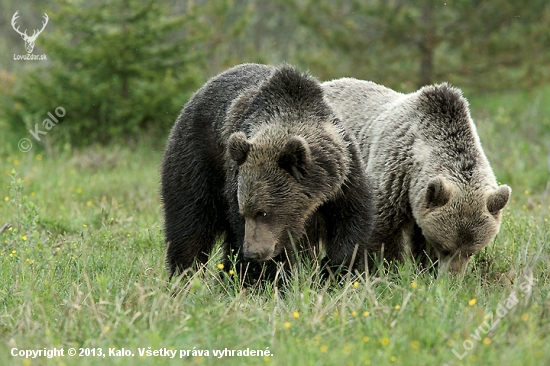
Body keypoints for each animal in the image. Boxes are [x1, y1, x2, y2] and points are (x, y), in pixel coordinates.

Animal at [160, 63, 376, 280]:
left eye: (263, 212)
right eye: (246, 212)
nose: (252, 252)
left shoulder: (345, 179)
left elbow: (351, 224)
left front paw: (334, 271)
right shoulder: (235, 182)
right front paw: (267, 276)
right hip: (198, 159)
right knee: (189, 220)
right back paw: (186, 274)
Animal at [324, 79, 512, 274]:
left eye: (471, 251)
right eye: (446, 247)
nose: (452, 276)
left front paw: (426, 268)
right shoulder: (394, 175)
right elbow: (383, 230)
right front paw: (387, 269)